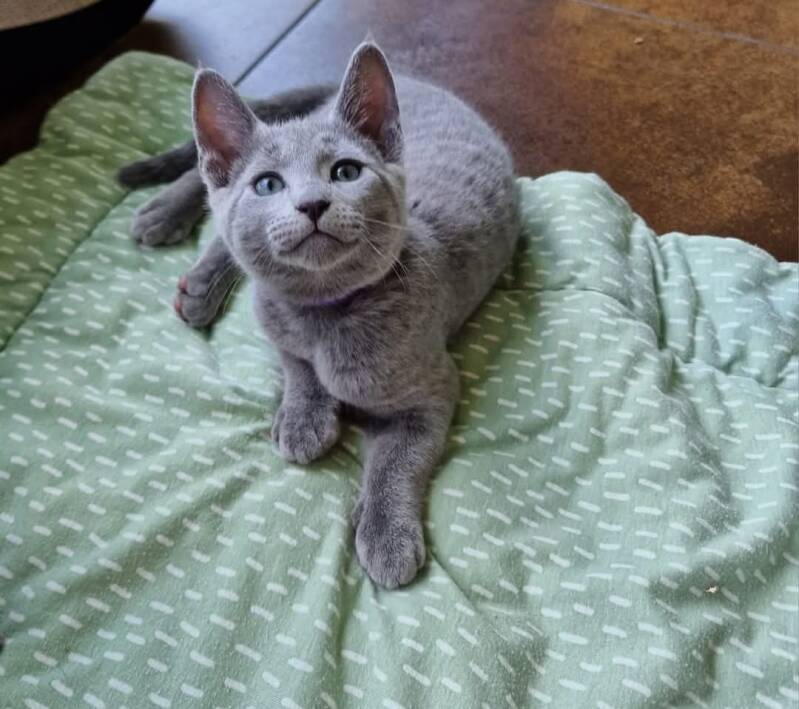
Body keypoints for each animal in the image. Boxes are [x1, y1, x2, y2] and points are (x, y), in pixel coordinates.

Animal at [119, 42, 519, 589]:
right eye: (268, 185)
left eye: (346, 172)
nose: (311, 203)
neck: (320, 315)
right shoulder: (276, 324)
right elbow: (295, 365)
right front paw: (303, 414)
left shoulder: (433, 390)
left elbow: (398, 460)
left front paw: (385, 534)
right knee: (209, 200)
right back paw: (173, 229)